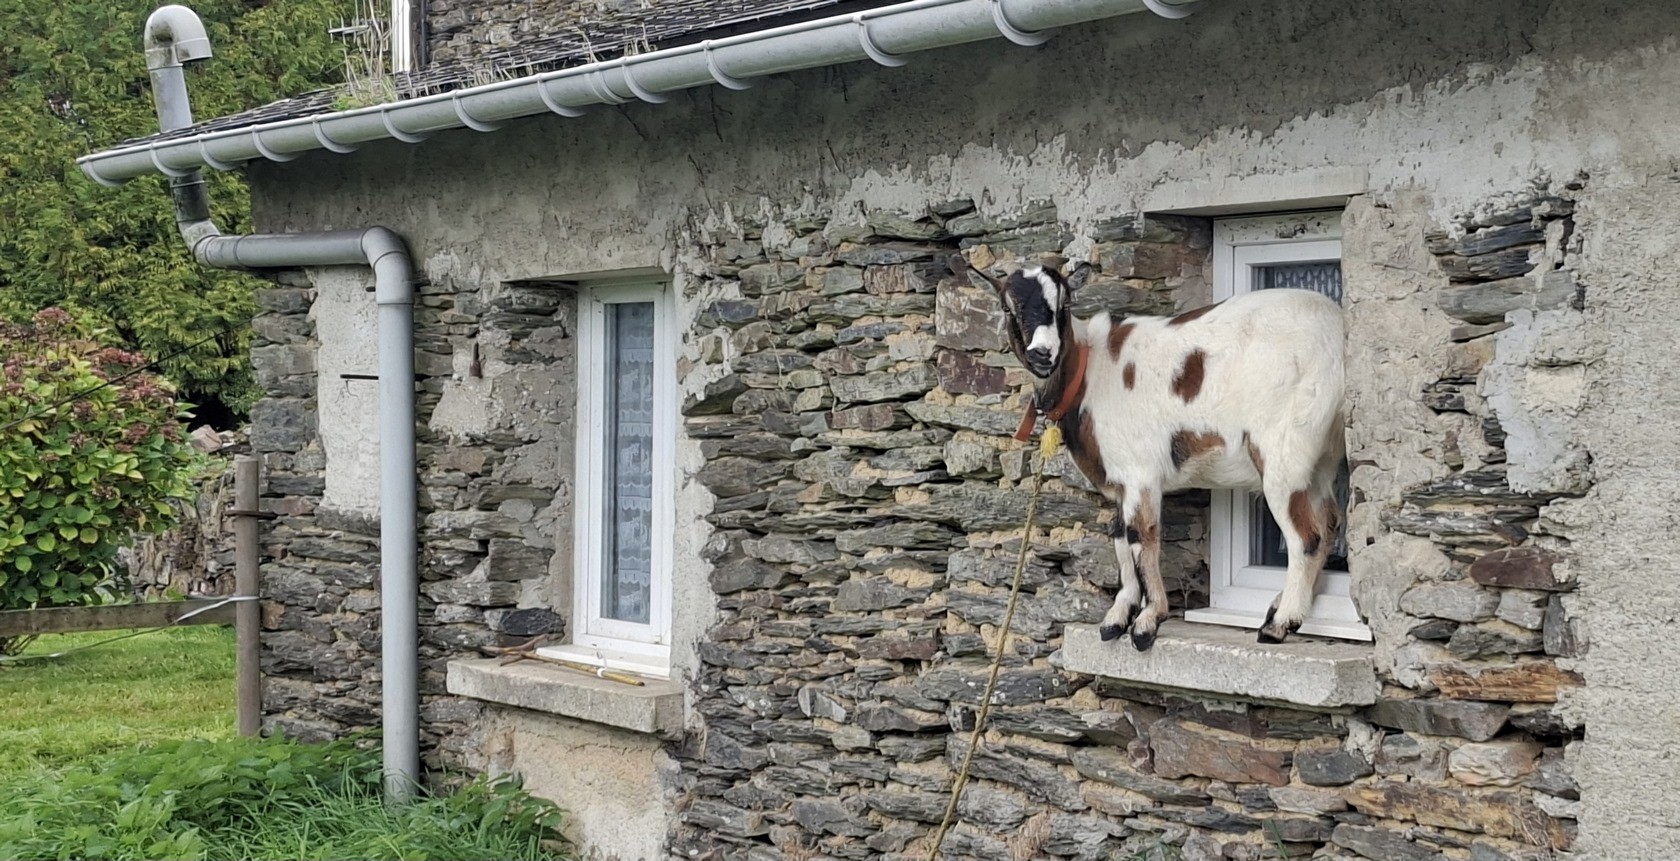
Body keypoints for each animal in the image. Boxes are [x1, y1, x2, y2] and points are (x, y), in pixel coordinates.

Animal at [949, 254, 1346, 649]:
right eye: (1007, 307)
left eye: (1064, 305)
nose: (1043, 353)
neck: (1090, 372)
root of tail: (1338, 334)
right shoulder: (1121, 480)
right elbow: (1121, 538)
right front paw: (1117, 617)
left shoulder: (1140, 473)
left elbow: (1144, 537)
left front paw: (1147, 621)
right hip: (1322, 456)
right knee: (1328, 524)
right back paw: (1284, 607)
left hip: (1285, 449)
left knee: (1305, 536)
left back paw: (1280, 623)